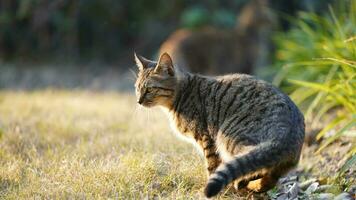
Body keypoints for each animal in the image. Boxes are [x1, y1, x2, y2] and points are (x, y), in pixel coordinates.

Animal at [134, 52, 304, 198]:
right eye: (137, 88)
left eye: (149, 89)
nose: (139, 101)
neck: (182, 94)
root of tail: (288, 130)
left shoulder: (207, 138)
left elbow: (212, 166)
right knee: (270, 177)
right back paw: (251, 185)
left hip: (228, 139)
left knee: (255, 166)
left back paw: (241, 183)